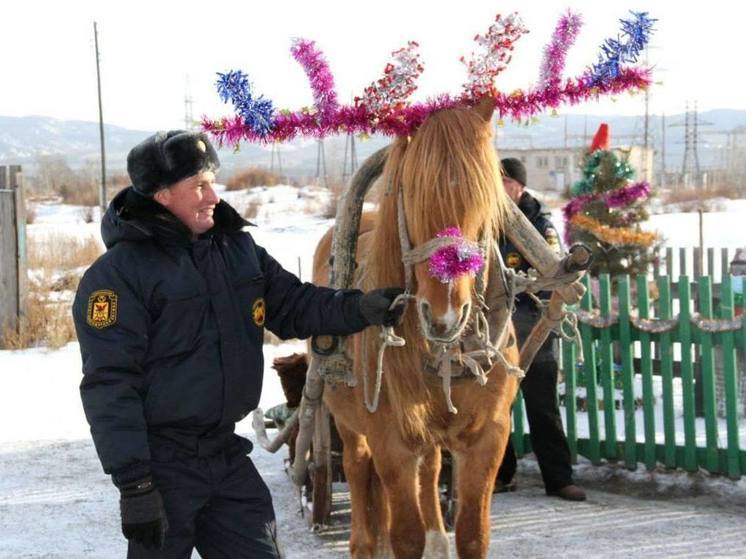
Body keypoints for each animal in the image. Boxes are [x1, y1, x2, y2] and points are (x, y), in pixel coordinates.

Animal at [310, 98, 516, 556]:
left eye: (482, 199)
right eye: (411, 194)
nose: (444, 315)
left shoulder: (488, 437)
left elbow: (473, 534)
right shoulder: (391, 441)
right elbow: (405, 535)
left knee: (431, 469)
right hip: (350, 426)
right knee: (358, 472)